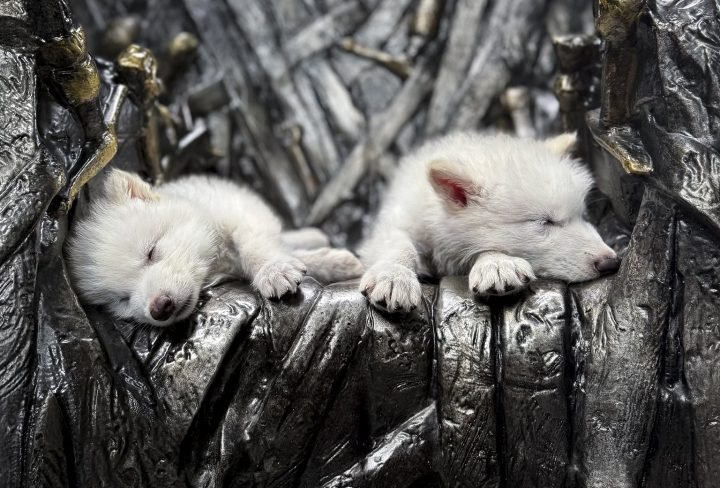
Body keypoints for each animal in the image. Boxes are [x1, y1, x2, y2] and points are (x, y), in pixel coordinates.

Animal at [66, 170, 363, 326]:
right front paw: (331, 263)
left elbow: (255, 245)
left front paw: (274, 270)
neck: (214, 262)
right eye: (122, 300)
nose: (159, 308)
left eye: (151, 252)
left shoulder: (241, 212)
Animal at [358, 131, 620, 313]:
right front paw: (393, 276)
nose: (612, 263)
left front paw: (497, 264)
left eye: (582, 216)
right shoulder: (397, 221)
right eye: (545, 221)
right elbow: (399, 245)